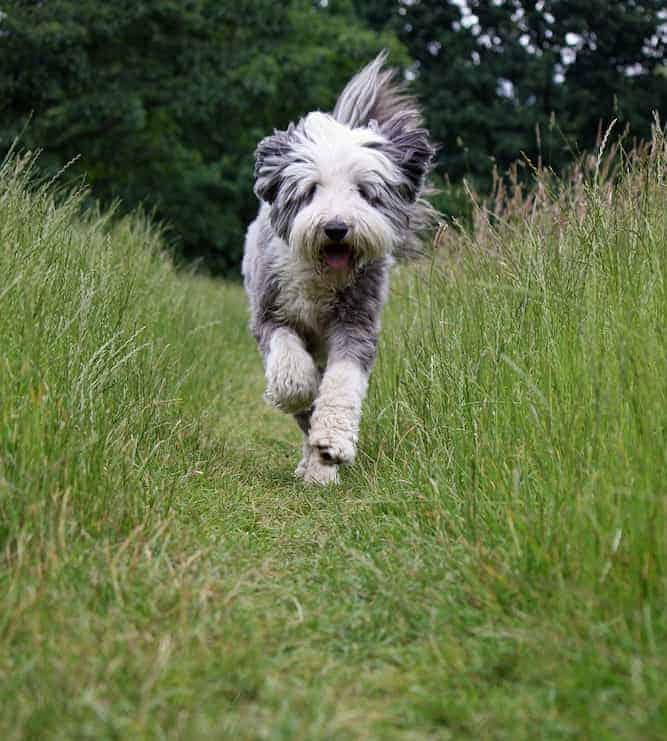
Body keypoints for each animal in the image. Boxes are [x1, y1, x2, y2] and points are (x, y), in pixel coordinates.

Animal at [243, 49, 436, 482]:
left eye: (364, 192)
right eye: (312, 189)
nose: (335, 228)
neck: (320, 277)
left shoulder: (357, 322)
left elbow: (342, 384)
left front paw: (331, 445)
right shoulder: (270, 310)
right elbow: (291, 369)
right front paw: (295, 392)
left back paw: (319, 467)